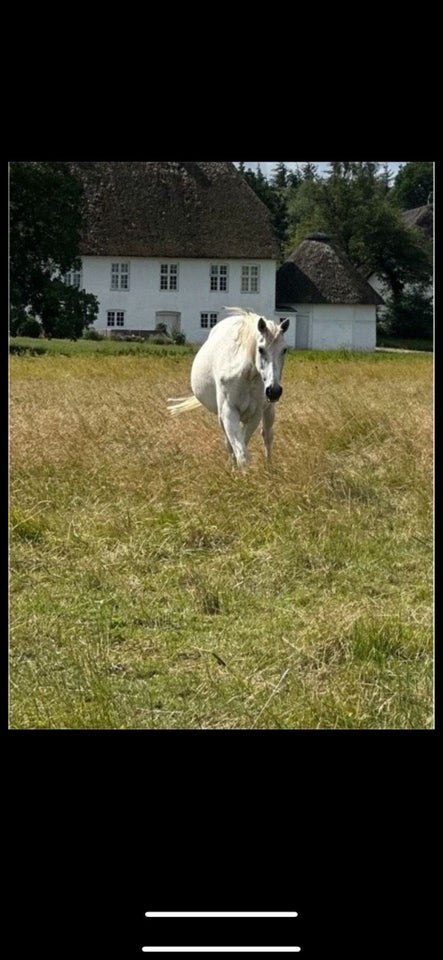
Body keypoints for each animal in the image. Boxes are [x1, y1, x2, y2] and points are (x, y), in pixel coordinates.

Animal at [168, 308, 290, 468]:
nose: (274, 391)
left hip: (268, 409)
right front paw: (236, 471)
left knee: (267, 436)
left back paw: (269, 466)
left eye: (284, 350)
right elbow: (237, 448)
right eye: (261, 349)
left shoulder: (255, 415)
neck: (245, 375)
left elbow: (243, 444)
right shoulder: (228, 412)